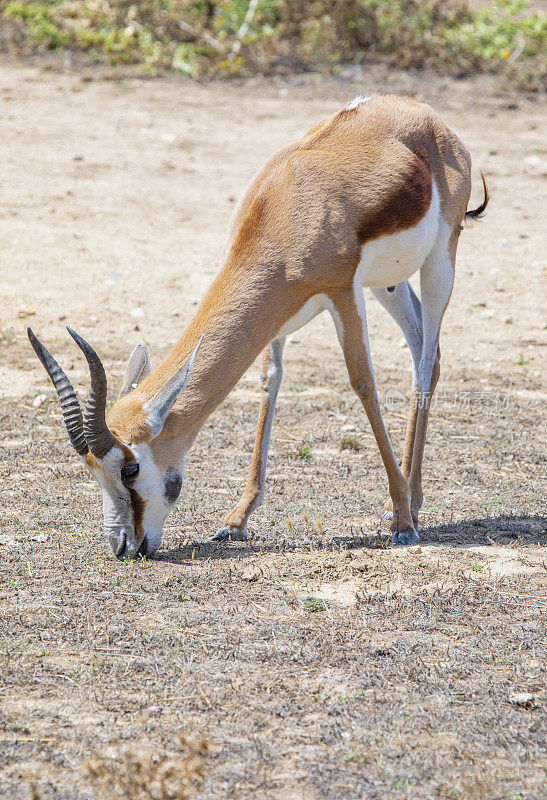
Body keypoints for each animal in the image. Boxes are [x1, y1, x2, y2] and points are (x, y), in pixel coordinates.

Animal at [28, 95, 488, 556]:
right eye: (92, 470)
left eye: (129, 469)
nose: (124, 546)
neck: (285, 210)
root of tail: (423, 113)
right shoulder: (277, 315)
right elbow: (271, 382)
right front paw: (236, 520)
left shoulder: (343, 293)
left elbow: (362, 382)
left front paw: (402, 525)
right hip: (388, 283)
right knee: (423, 350)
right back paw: (412, 498)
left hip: (439, 262)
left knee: (425, 362)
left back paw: (409, 508)